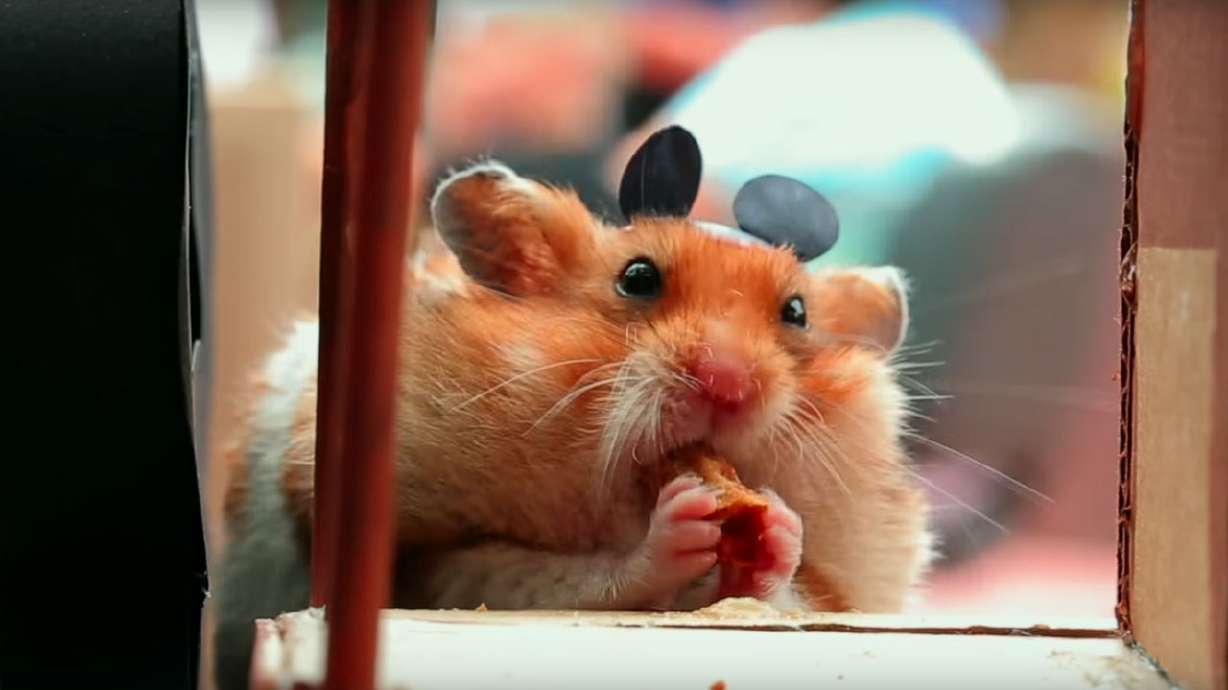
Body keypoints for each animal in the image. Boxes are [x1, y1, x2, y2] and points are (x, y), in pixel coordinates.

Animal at [212, 161, 932, 689]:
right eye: (637, 277)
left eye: (797, 313)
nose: (729, 384)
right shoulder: (437, 561)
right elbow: (563, 575)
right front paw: (681, 522)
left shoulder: (839, 597)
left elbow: (793, 596)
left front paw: (778, 527)